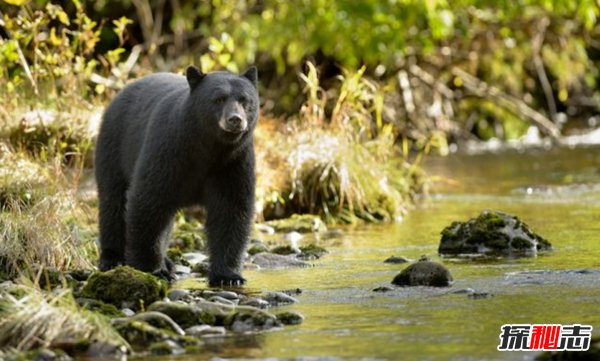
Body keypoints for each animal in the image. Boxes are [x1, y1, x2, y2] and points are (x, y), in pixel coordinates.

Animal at [95, 64, 258, 284]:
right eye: (219, 99)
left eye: (244, 100)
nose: (235, 120)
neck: (209, 147)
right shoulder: (169, 150)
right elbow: (148, 199)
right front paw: (152, 269)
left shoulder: (233, 162)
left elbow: (231, 209)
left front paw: (229, 276)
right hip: (114, 146)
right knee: (113, 201)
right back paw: (113, 259)